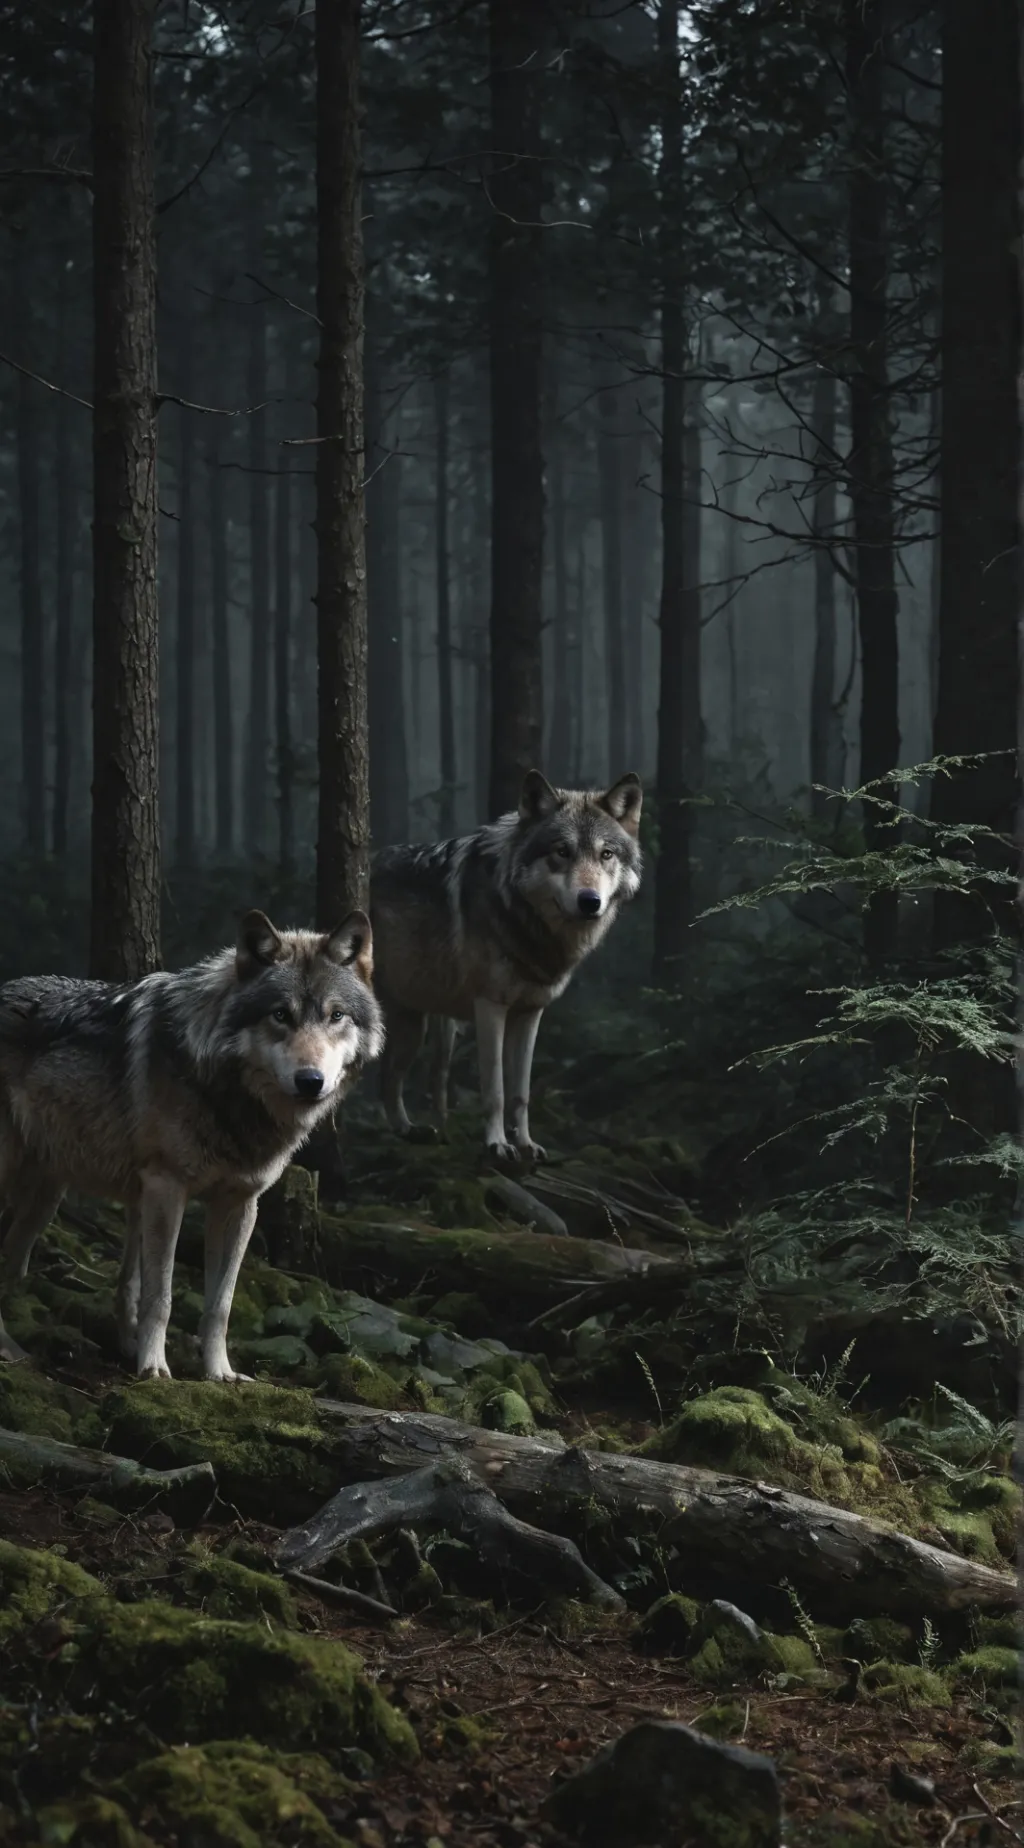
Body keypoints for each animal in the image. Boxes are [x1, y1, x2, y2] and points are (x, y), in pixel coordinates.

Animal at [0, 910, 383, 1380]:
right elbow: (159, 1297)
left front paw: (220, 1374)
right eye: (281, 1015)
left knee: (12, 1264)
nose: (310, 1081)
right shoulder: (166, 1188)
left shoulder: (239, 1204)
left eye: (336, 1015)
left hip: (45, 1199)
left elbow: (219, 1305)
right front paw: (154, 1368)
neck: (225, 1092)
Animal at [371, 770, 642, 1160]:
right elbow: (496, 1090)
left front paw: (526, 1143)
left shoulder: (530, 1013)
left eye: (606, 854)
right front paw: (498, 1144)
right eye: (562, 852)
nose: (590, 902)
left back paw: (412, 1131)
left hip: (422, 1027)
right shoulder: (490, 1007)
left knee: (398, 1079)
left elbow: (520, 1092)